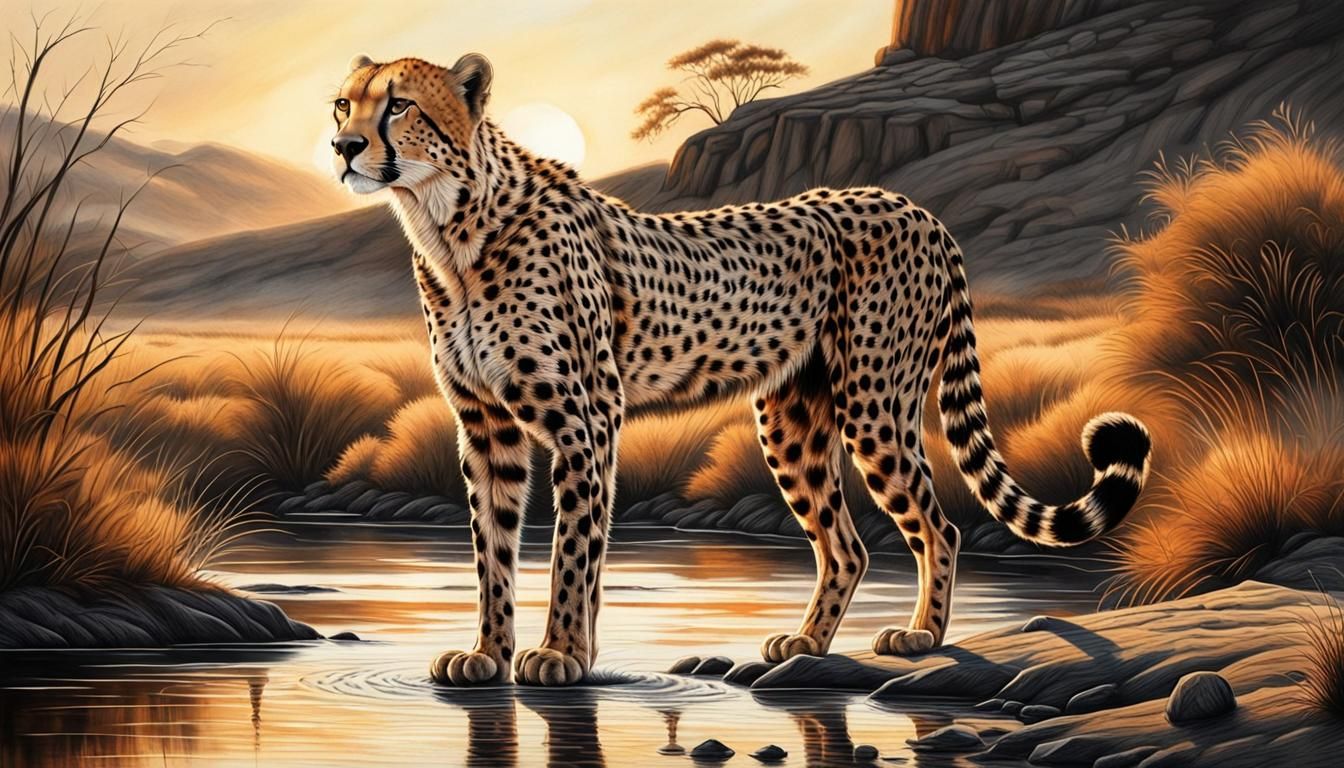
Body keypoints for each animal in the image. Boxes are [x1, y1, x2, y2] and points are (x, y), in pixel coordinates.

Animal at [329, 53, 1152, 687]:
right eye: (344, 101)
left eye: (398, 104)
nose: (342, 145)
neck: (448, 228)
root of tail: (913, 206)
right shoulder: (488, 430)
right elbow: (493, 552)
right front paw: (487, 653)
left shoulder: (586, 421)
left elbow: (573, 552)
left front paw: (561, 652)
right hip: (792, 422)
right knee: (847, 544)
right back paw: (808, 643)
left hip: (874, 403)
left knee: (938, 525)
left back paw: (921, 635)